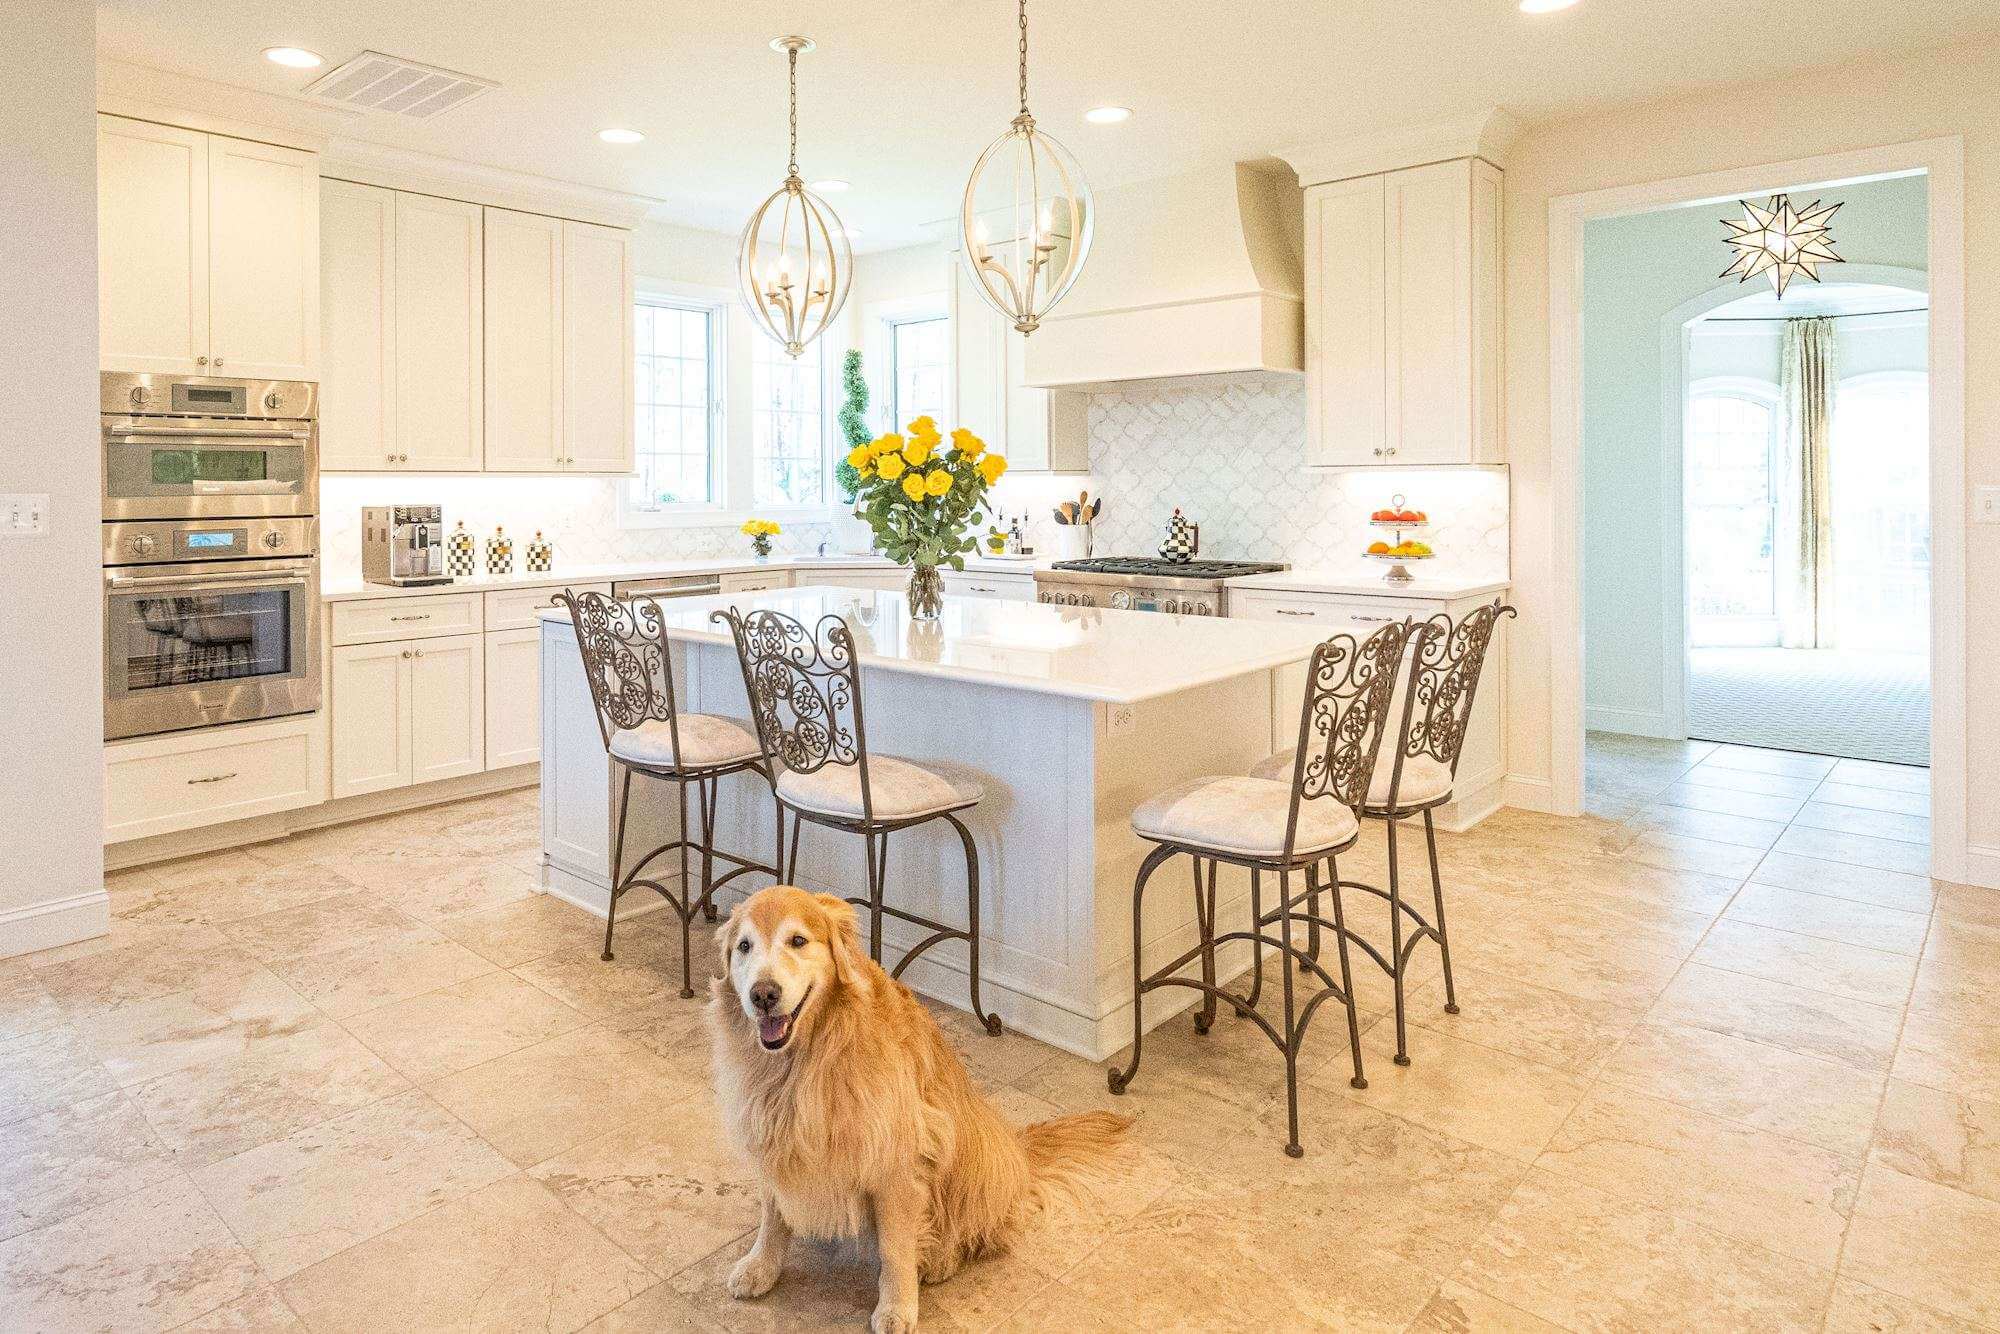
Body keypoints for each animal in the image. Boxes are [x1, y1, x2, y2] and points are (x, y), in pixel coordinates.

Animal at [712, 880, 1136, 1328]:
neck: (804, 1061)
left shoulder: (898, 1161)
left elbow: (894, 1247)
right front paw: (760, 1266)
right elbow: (772, 1213)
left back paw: (942, 1259)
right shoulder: (771, 1137)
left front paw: (896, 1307)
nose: (763, 994)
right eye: (744, 946)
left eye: (797, 940)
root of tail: (1017, 1148)